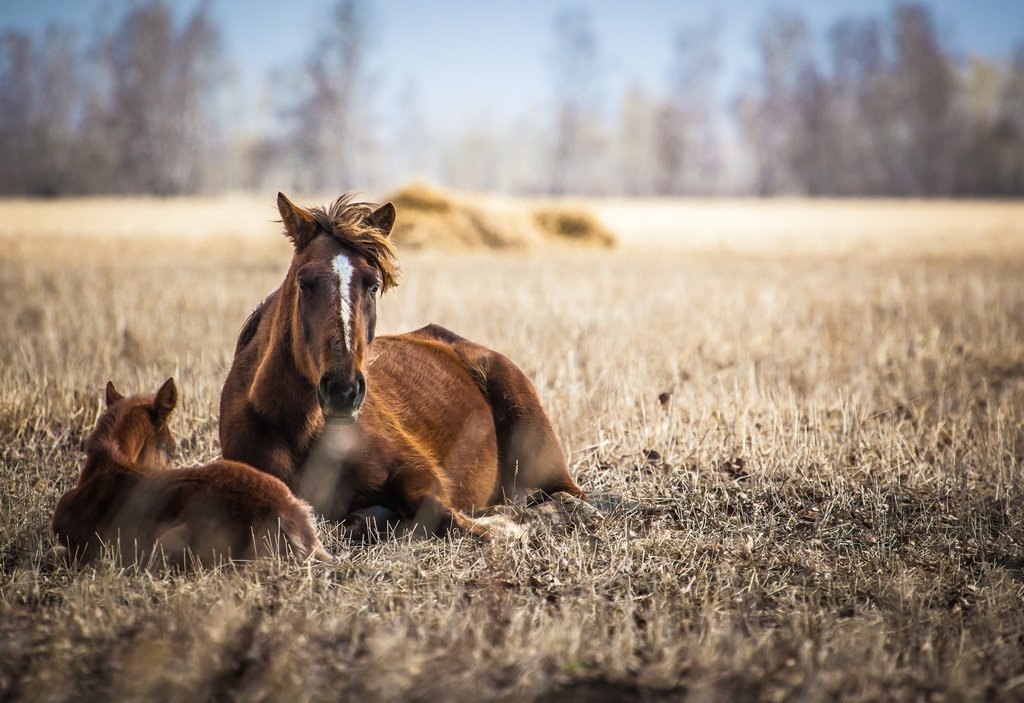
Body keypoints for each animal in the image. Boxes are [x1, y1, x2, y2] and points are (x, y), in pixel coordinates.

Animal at [219, 192, 581, 540]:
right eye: (304, 282)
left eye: (373, 284)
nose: (342, 391)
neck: (293, 428)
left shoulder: (421, 475)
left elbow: (443, 515)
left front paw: (512, 525)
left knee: (568, 496)